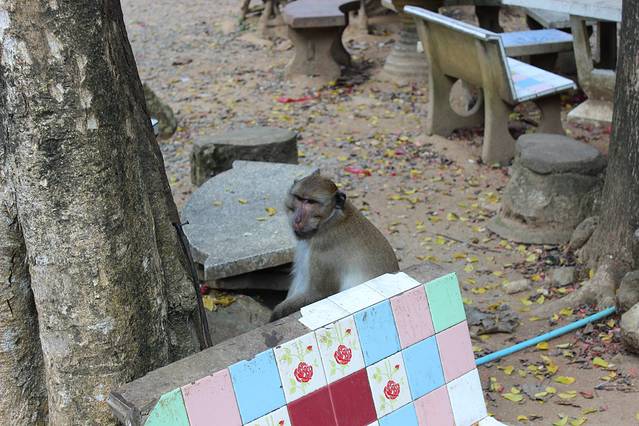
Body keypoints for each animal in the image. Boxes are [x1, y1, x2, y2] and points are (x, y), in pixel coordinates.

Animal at [270, 171, 399, 321]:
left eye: (311, 202)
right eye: (299, 198)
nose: (297, 219)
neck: (329, 221)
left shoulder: (324, 252)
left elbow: (318, 294)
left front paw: (275, 315)